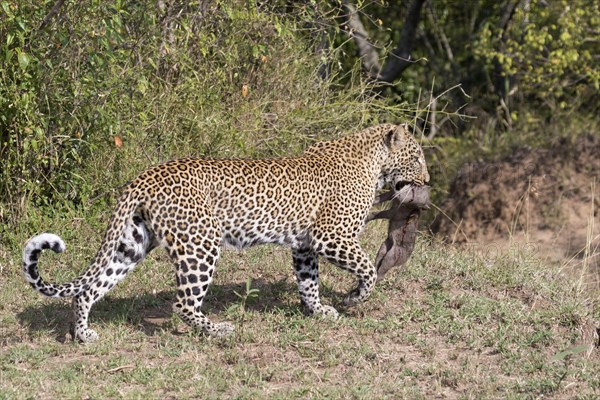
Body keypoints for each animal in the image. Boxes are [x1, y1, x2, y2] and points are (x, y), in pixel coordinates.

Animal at [22, 123, 426, 342]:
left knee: (88, 288)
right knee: (182, 304)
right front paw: (355, 297)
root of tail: (145, 176)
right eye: (418, 157)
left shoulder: (304, 245)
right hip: (200, 243)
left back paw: (83, 335)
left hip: (132, 244)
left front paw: (319, 310)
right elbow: (368, 269)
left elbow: (308, 281)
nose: (427, 181)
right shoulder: (331, 236)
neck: (373, 163)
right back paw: (217, 330)